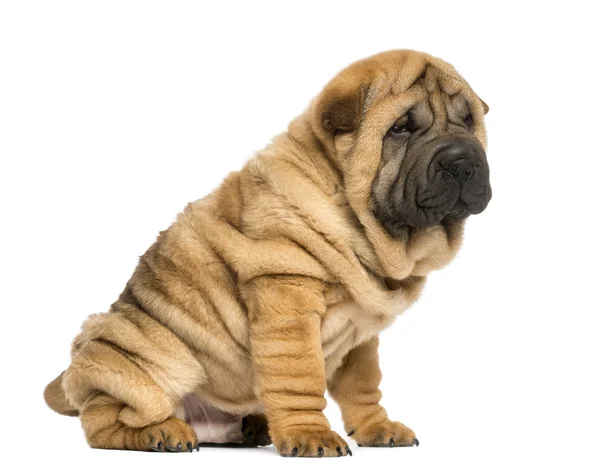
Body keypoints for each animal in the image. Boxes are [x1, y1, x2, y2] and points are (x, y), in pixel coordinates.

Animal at [44, 49, 490, 456]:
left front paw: (378, 429)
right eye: (401, 128)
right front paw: (310, 435)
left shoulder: (360, 336)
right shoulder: (288, 299)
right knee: (103, 418)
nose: (462, 159)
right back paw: (161, 432)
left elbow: (363, 384)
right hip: (151, 360)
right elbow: (300, 379)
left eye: (469, 120)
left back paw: (252, 428)